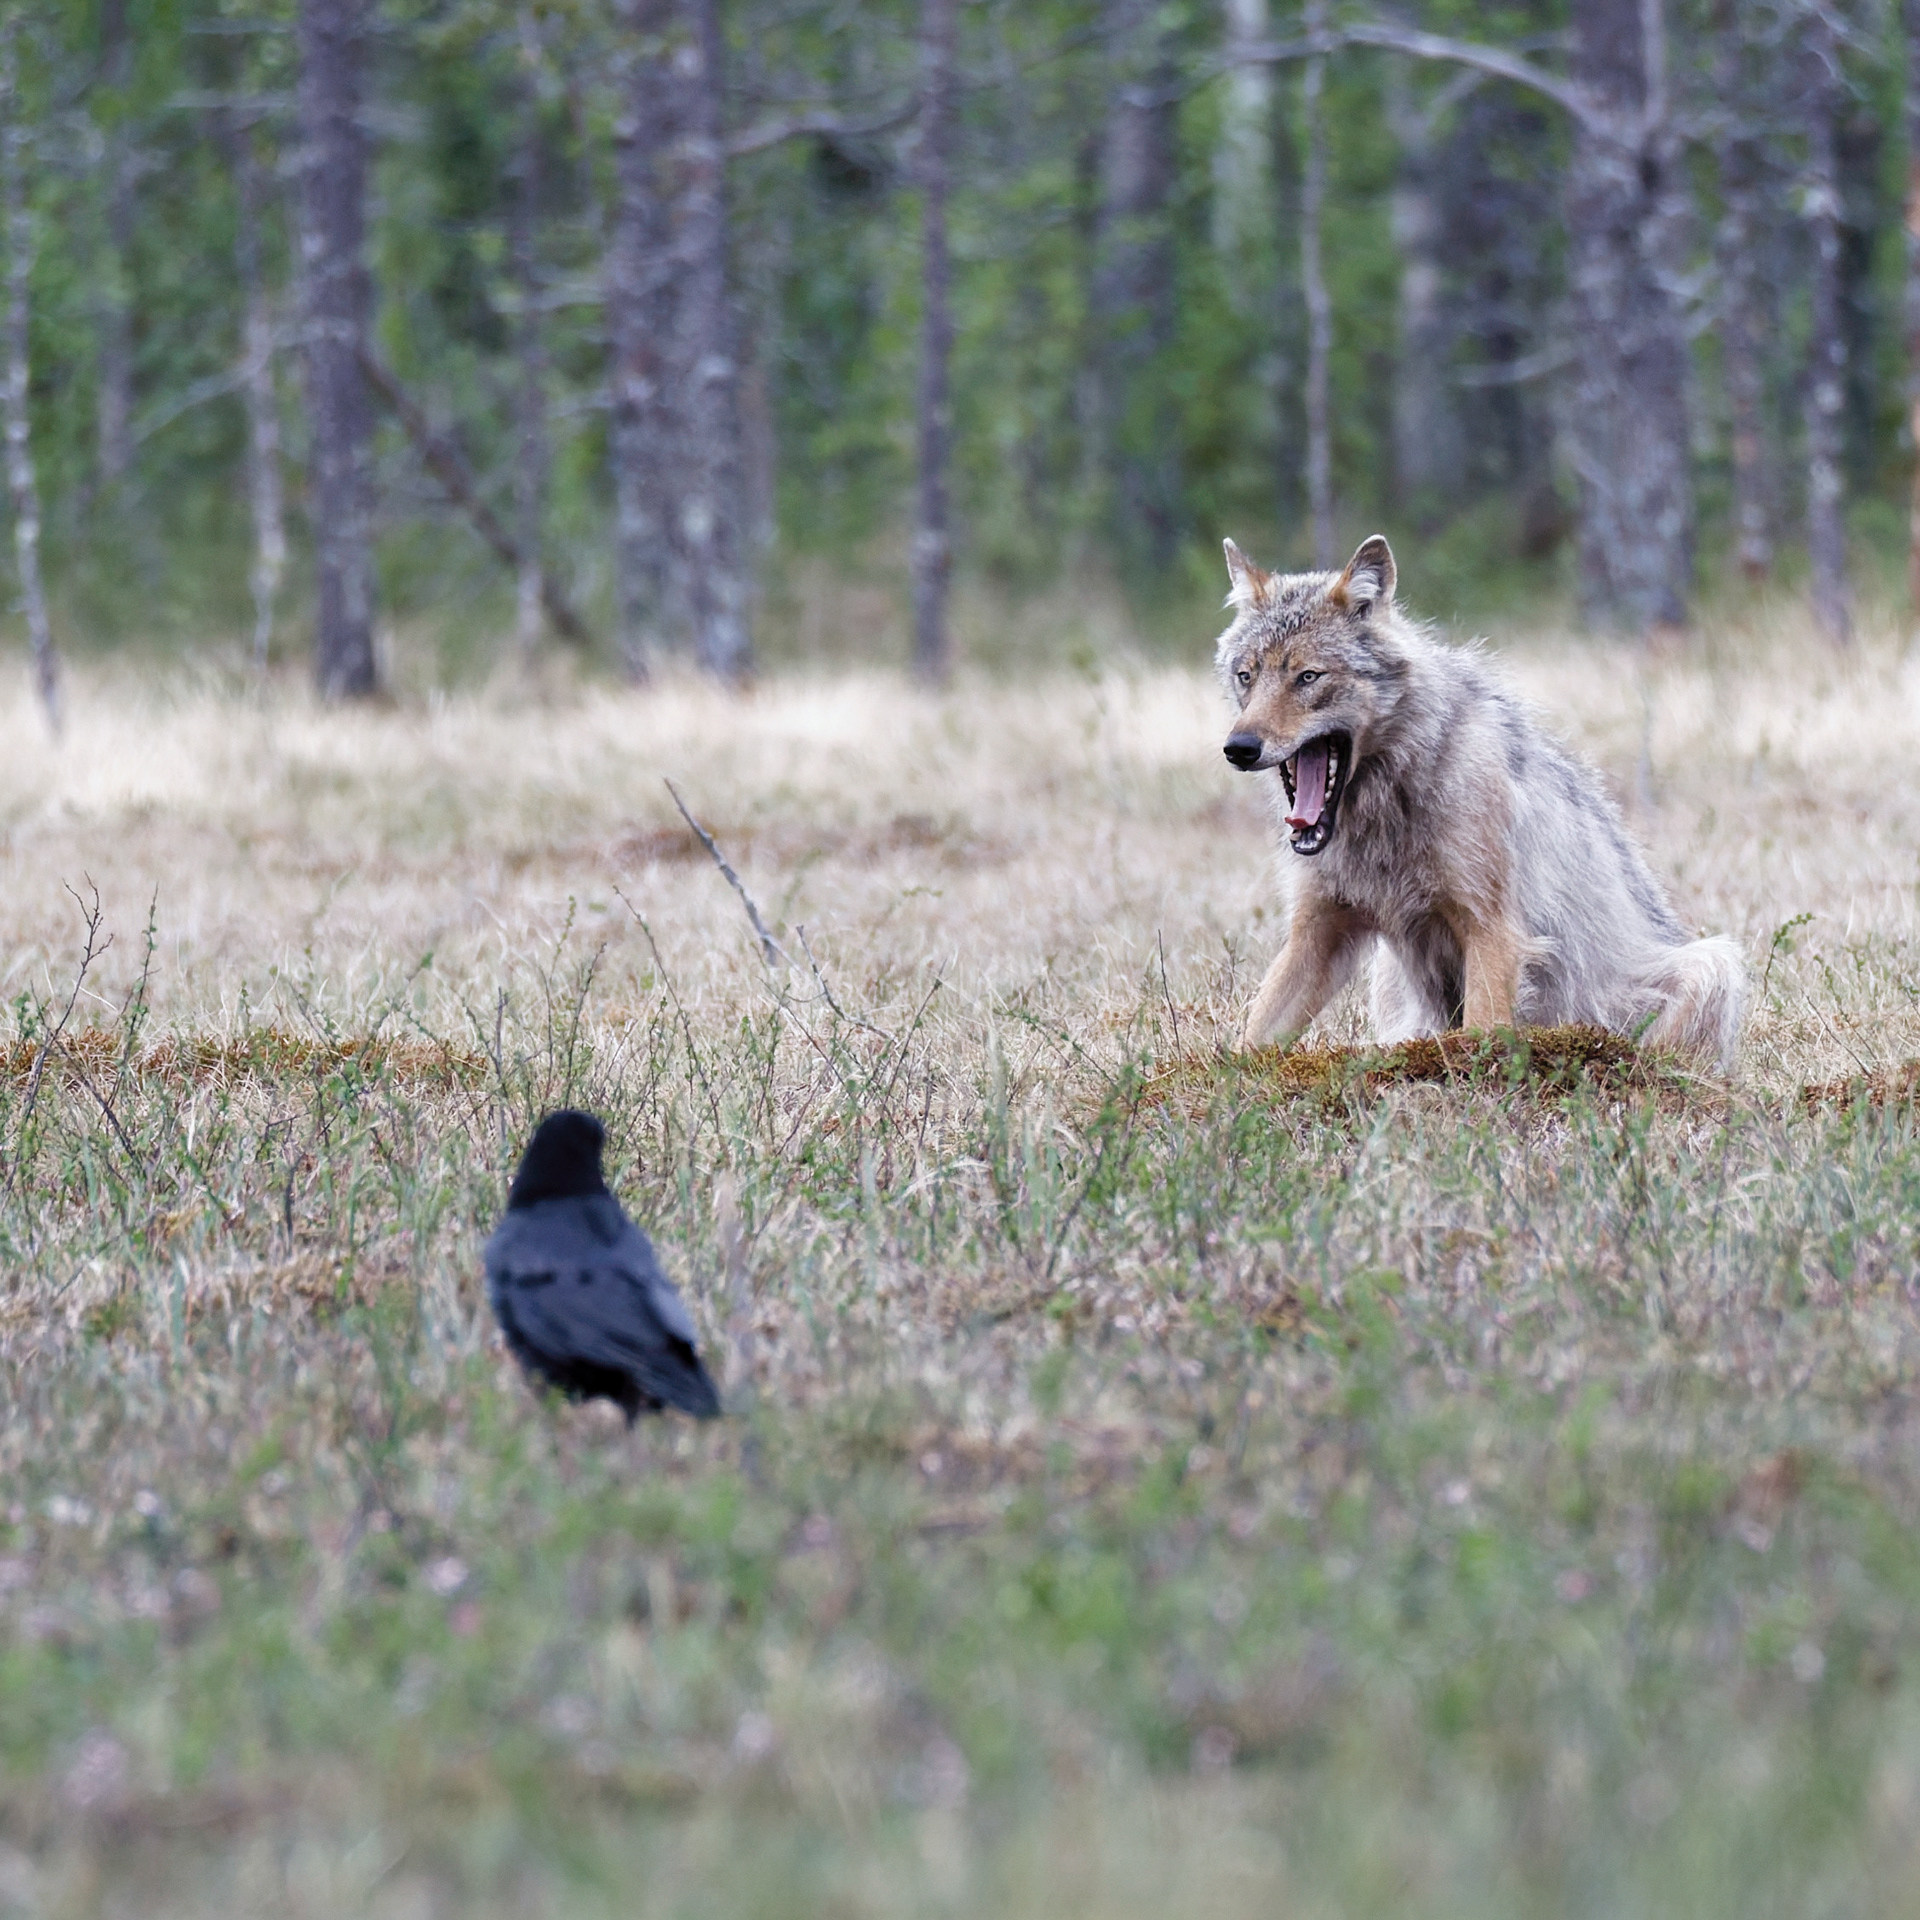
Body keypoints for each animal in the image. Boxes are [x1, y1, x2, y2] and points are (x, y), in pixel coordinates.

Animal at [1214, 534, 1746, 1069]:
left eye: (1308, 677)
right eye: (1246, 676)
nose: (1238, 748)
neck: (1392, 803)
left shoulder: (1493, 932)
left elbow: (1480, 1036)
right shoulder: (1317, 932)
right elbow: (1250, 1039)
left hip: (1712, 964)